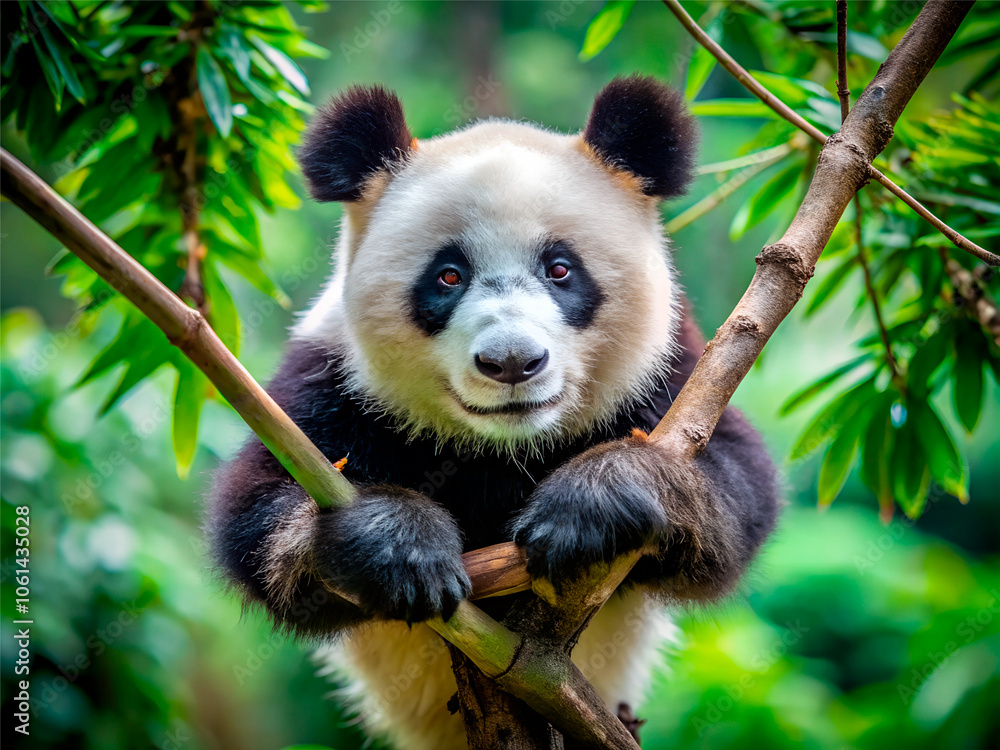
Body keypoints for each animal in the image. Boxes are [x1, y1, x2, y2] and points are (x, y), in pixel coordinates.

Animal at [208, 75, 779, 750]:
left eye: (560, 269)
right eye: (448, 276)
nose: (512, 362)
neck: (506, 445)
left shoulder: (671, 371)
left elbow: (735, 492)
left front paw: (587, 508)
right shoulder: (330, 382)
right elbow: (258, 513)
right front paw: (400, 546)